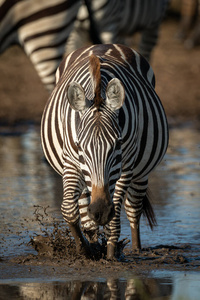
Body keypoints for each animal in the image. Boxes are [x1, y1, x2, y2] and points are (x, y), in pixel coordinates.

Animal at [40, 43, 169, 258]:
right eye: (79, 146)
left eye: (118, 144)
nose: (100, 211)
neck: (97, 92)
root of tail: (102, 44)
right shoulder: (71, 162)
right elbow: (69, 210)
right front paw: (85, 251)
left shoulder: (126, 167)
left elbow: (114, 217)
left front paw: (110, 255)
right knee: (87, 216)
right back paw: (93, 242)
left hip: (141, 172)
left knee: (133, 209)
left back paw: (136, 249)